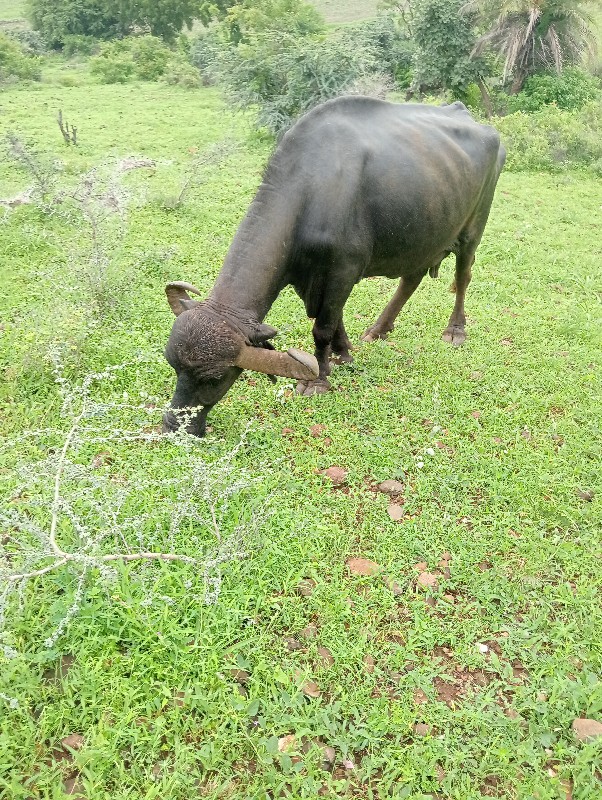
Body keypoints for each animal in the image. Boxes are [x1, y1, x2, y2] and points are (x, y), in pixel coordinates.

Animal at [162, 101, 504, 440]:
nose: (174, 425)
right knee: (411, 278)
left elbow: (322, 327)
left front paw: (320, 378)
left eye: (214, 378)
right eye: (174, 366)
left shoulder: (343, 270)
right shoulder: (308, 277)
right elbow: (334, 319)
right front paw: (344, 353)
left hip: (473, 229)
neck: (313, 190)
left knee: (463, 276)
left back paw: (455, 329)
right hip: (422, 237)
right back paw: (378, 329)